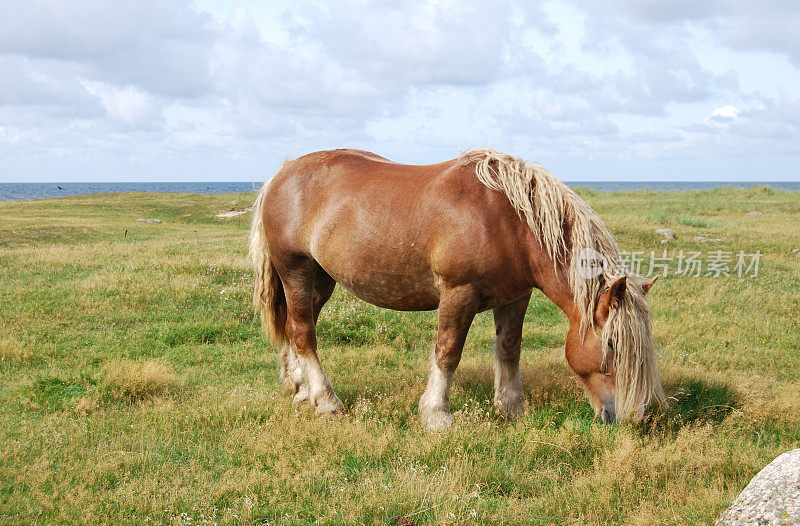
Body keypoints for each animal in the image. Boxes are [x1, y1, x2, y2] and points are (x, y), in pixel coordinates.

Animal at [250, 151, 664, 432]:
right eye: (611, 345)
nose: (637, 417)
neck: (508, 220)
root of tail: (281, 173)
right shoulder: (458, 293)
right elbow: (448, 352)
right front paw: (437, 415)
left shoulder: (516, 297)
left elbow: (509, 349)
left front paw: (512, 407)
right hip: (296, 271)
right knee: (304, 332)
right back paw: (326, 401)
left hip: (320, 280)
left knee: (295, 328)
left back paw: (300, 389)